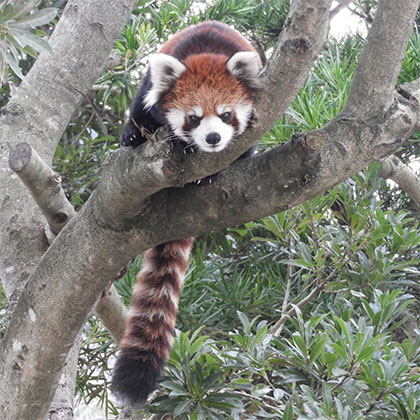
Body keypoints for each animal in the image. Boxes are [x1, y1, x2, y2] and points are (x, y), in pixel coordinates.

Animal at [113, 21, 260, 406]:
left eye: (226, 114)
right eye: (194, 118)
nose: (212, 138)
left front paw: (211, 171)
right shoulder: (152, 86)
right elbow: (141, 108)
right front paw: (141, 135)